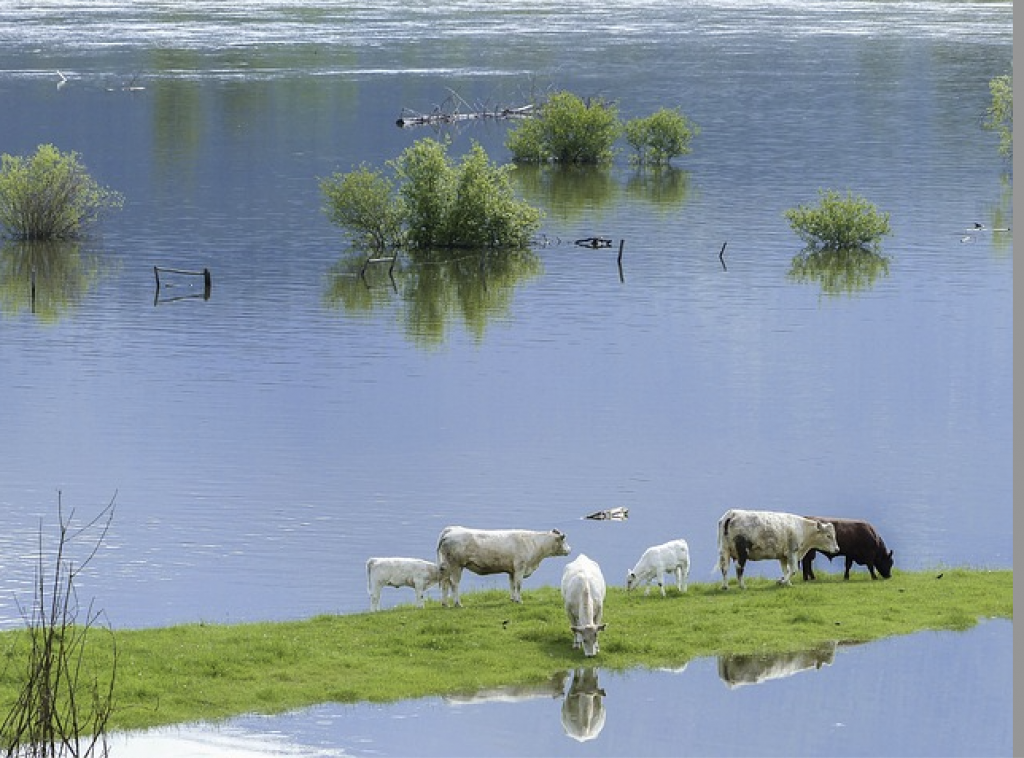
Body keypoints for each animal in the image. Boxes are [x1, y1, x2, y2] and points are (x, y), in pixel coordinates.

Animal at [436, 526, 571, 607]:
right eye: (564, 540)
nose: (570, 550)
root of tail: (451, 529)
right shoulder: (520, 567)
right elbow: (518, 585)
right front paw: (519, 600)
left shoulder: (512, 570)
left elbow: (512, 584)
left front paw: (513, 599)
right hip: (456, 565)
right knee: (454, 584)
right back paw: (458, 604)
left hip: (447, 566)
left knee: (445, 583)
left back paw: (445, 604)